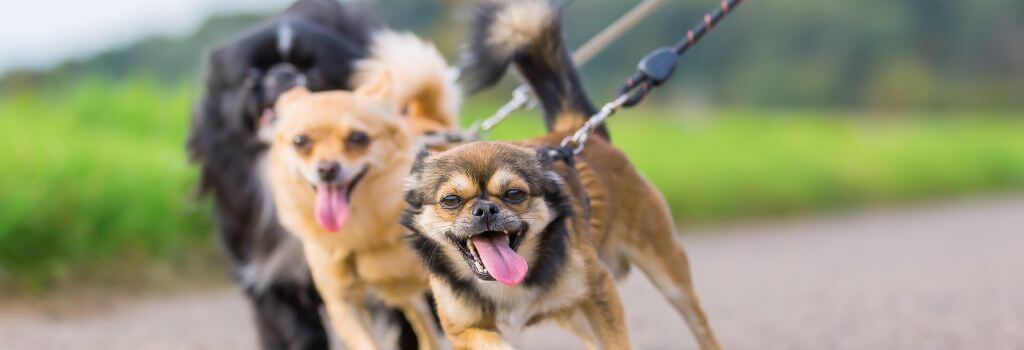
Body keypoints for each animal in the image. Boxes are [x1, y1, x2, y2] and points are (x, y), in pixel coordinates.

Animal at [264, 30, 460, 350]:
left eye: (358, 138)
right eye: (300, 141)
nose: (327, 169)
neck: (361, 225)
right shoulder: (343, 304)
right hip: (403, 296)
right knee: (424, 327)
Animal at [399, 1, 720, 347]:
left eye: (515, 194)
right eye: (450, 200)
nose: (485, 209)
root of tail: (577, 132)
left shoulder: (600, 290)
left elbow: (617, 341)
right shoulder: (462, 328)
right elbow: (494, 341)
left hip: (667, 274)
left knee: (700, 325)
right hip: (573, 315)